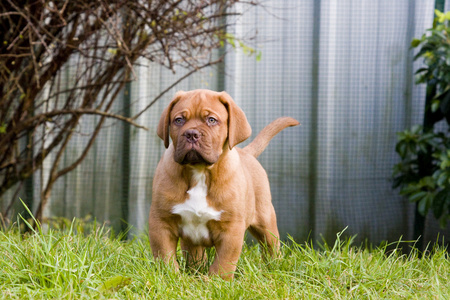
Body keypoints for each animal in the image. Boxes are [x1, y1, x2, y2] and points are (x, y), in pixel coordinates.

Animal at [149, 88, 300, 278]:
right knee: (195, 254)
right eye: (179, 120)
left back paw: (275, 267)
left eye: (211, 120)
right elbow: (165, 256)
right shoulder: (161, 222)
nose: (191, 134)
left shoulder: (231, 229)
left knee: (271, 246)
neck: (199, 171)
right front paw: (172, 277)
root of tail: (246, 152)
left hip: (266, 219)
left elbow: (224, 261)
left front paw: (215, 280)